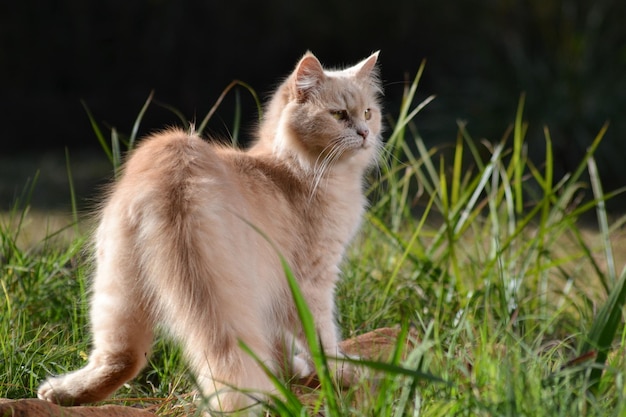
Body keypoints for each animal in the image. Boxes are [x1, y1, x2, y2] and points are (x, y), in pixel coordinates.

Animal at [39, 50, 382, 412]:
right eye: (339, 115)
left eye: (368, 113)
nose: (364, 133)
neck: (294, 169)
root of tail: (178, 178)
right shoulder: (311, 280)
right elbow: (320, 339)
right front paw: (334, 374)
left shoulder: (277, 288)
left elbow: (279, 343)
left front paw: (290, 375)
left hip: (116, 283)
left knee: (122, 357)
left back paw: (63, 393)